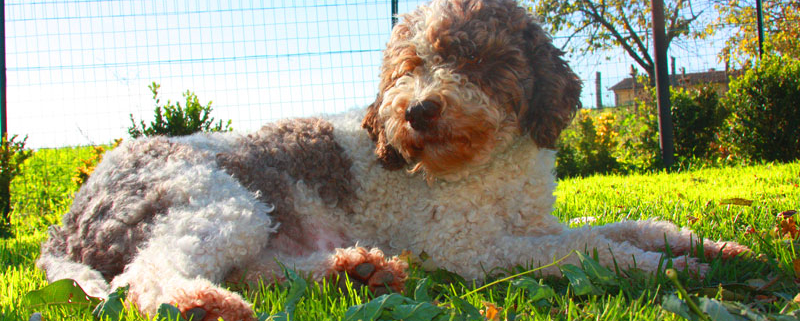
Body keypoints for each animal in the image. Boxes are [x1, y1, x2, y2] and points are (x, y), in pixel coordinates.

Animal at [37, 0, 752, 320]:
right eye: (409, 65)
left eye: (475, 60)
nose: (418, 111)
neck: (484, 166)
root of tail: (67, 220)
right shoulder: (468, 248)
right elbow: (589, 248)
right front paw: (667, 269)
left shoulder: (528, 224)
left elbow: (623, 226)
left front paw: (708, 246)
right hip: (221, 201)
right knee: (150, 274)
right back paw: (200, 302)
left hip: (258, 220)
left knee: (265, 269)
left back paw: (358, 270)